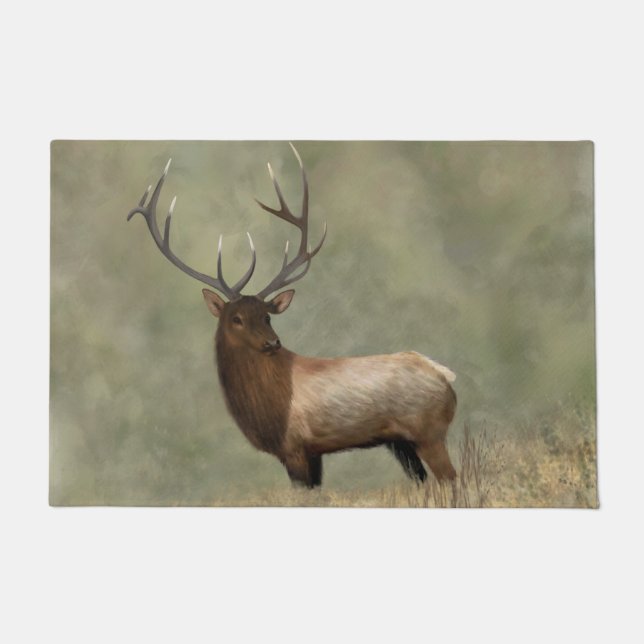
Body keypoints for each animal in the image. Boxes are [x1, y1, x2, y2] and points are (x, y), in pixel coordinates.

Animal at [127, 144, 457, 488]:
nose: (273, 343)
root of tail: (445, 376)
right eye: (236, 318)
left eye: (267, 316)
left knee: (451, 478)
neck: (266, 412)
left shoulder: (294, 447)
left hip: (429, 431)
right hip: (401, 442)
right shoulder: (312, 452)